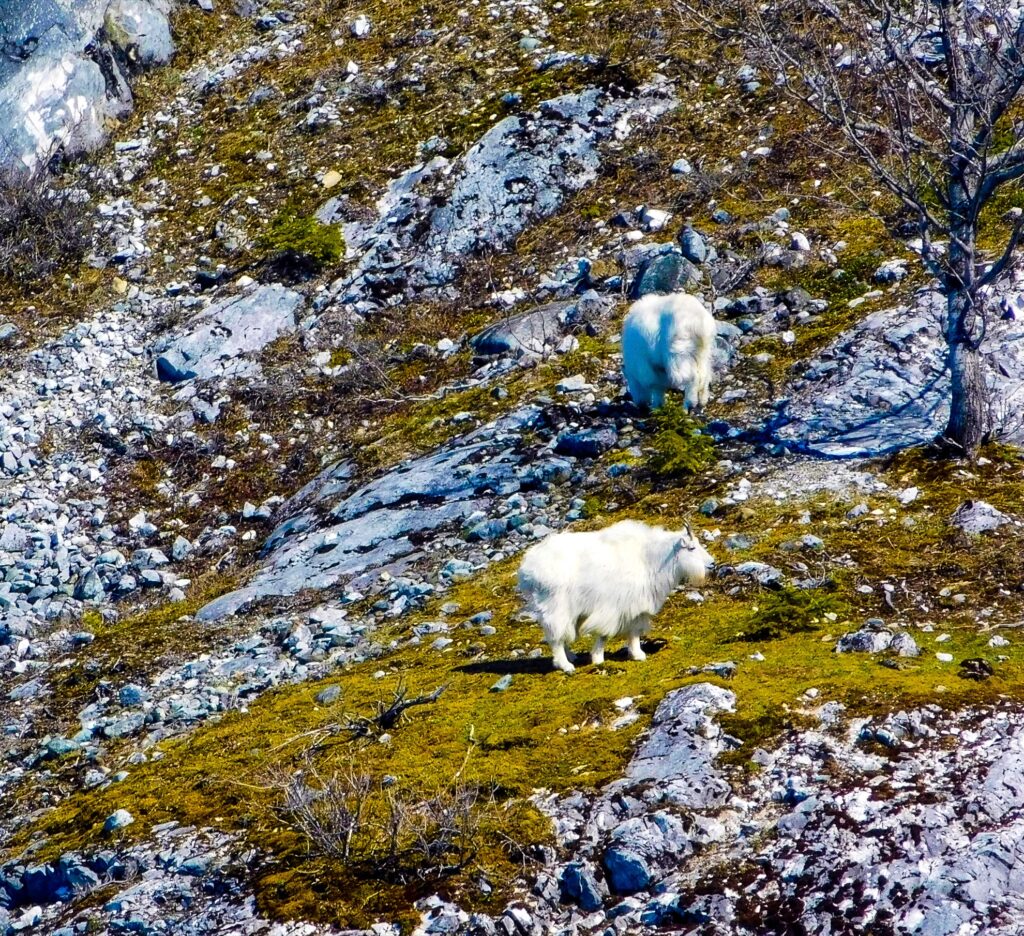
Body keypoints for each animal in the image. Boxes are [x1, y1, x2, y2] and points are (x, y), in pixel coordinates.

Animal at [516, 518, 716, 671]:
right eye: (691, 548)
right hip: (556, 606)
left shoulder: (636, 607)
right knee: (555, 636)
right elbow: (603, 634)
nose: (712, 564)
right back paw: (565, 665)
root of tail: (527, 569)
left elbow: (634, 632)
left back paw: (571, 656)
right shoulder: (611, 608)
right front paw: (598, 659)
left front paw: (638, 654)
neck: (650, 560)